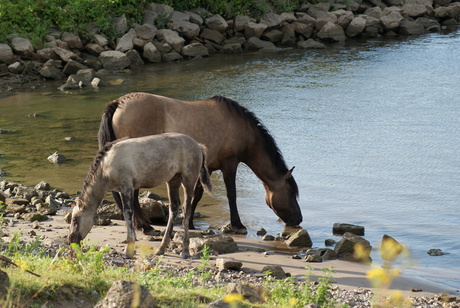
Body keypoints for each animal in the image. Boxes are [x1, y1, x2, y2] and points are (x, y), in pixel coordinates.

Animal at [98, 91, 302, 233]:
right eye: (291, 193)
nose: (298, 219)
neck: (242, 128)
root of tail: (118, 103)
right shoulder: (229, 164)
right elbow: (231, 194)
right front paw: (237, 224)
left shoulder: (207, 167)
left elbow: (196, 194)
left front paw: (189, 223)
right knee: (132, 194)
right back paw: (145, 226)